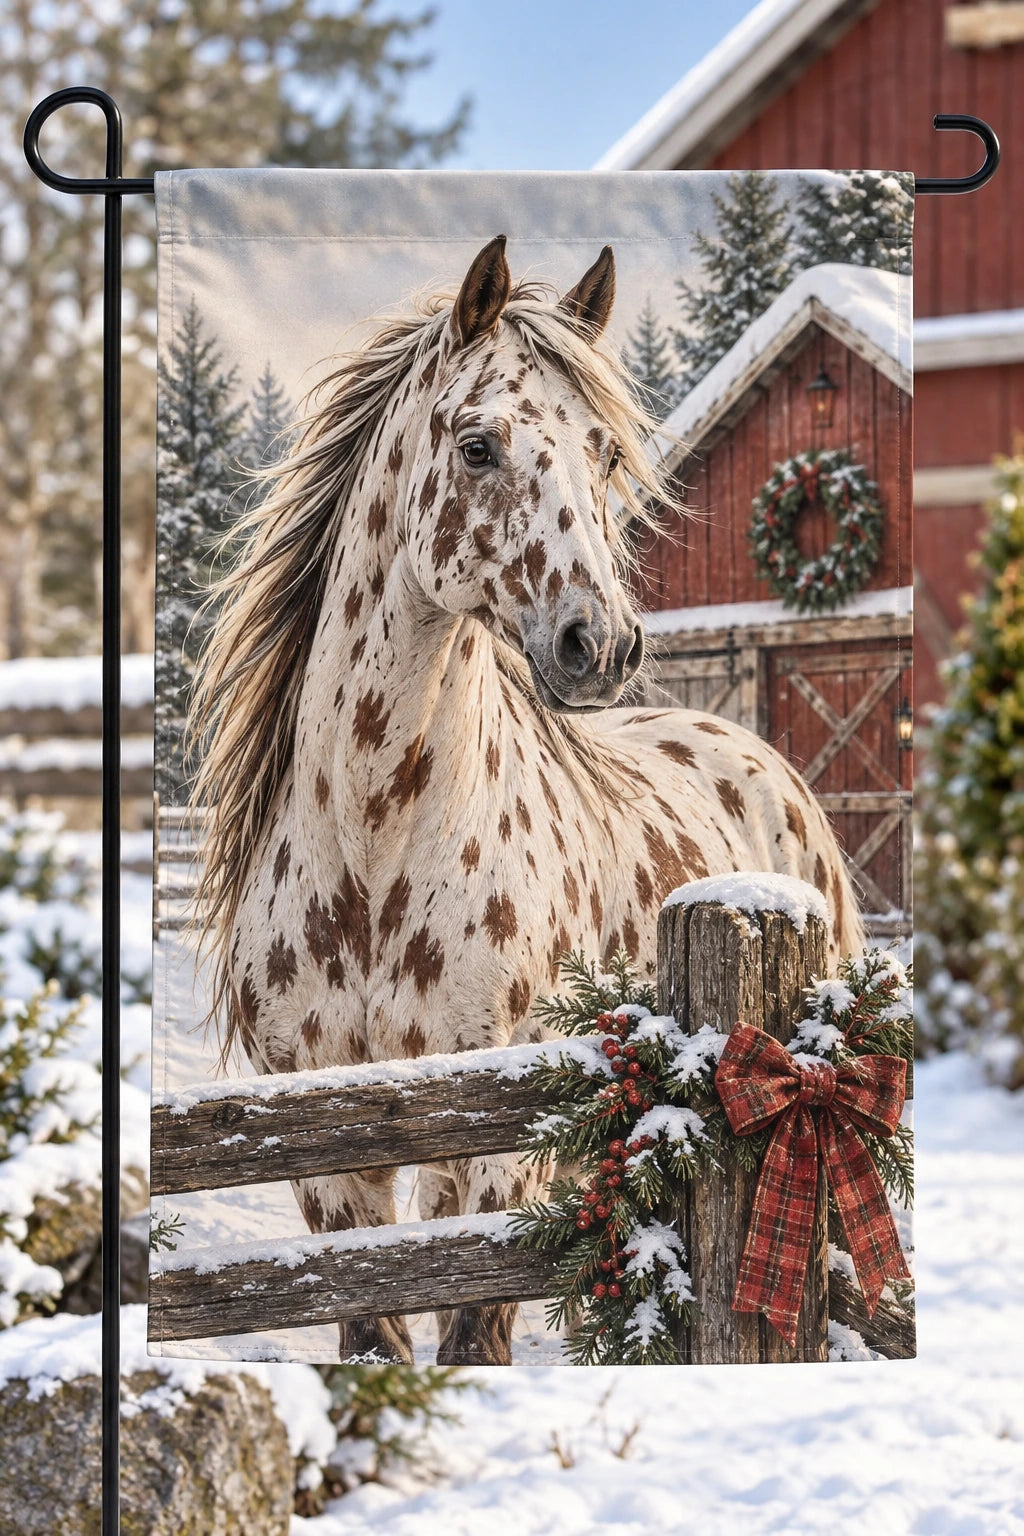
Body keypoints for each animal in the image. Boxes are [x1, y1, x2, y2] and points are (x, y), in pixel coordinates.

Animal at [189, 235, 864, 1366]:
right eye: (476, 447)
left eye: (604, 455)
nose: (604, 644)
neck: (374, 852)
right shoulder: (329, 1169)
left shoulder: (505, 1152)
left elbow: (473, 1342)